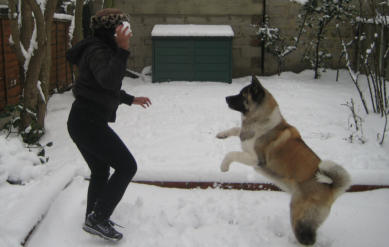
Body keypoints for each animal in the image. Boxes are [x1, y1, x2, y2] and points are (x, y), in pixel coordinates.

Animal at [217, 75, 350, 245]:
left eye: (242, 94)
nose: (226, 98)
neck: (261, 119)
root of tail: (332, 189)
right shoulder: (245, 138)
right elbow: (237, 130)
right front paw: (222, 134)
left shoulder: (256, 159)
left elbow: (231, 153)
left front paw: (224, 166)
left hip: (299, 217)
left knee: (307, 240)